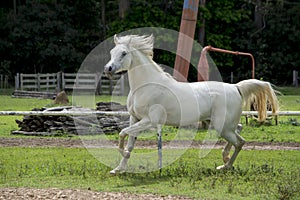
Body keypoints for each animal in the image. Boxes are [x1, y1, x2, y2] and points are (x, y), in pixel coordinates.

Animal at [103, 34, 278, 173]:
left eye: (124, 53)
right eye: (111, 52)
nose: (108, 69)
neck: (146, 85)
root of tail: (236, 87)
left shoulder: (150, 121)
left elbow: (122, 133)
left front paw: (122, 159)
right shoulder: (135, 118)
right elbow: (130, 142)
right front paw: (118, 169)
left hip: (222, 127)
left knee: (240, 142)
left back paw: (225, 165)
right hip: (223, 124)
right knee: (239, 130)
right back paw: (225, 160)